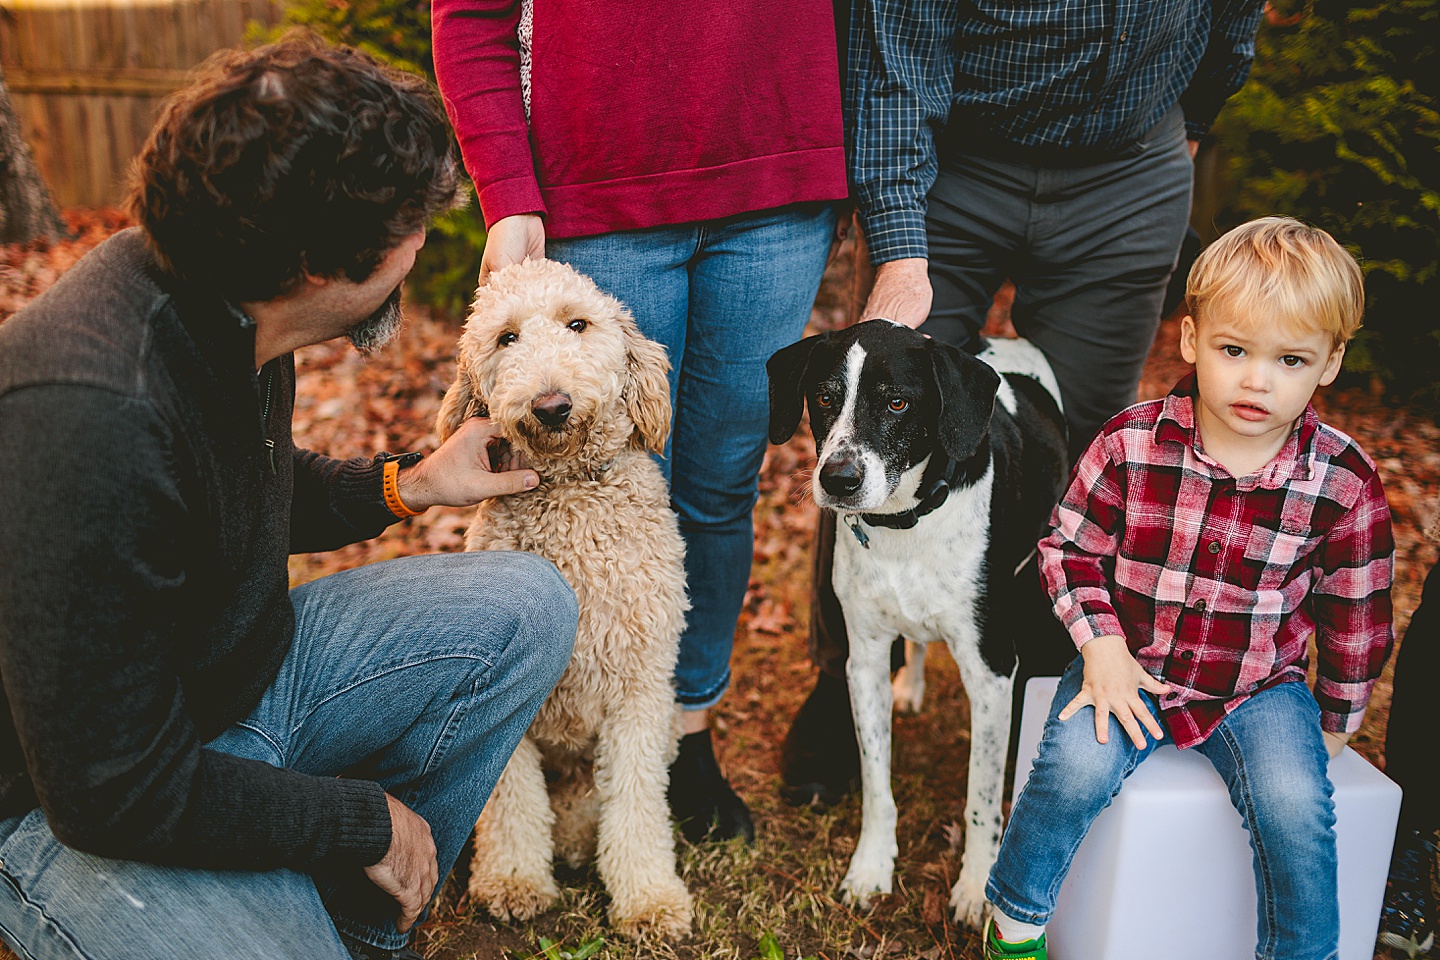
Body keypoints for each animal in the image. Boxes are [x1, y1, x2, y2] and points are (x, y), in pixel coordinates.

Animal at [771, 319, 1077, 926]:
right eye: (824, 398)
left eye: (897, 403)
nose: (838, 479)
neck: (902, 525)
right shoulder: (863, 660)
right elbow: (876, 784)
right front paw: (871, 867)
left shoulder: (990, 671)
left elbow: (981, 798)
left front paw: (976, 886)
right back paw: (910, 685)